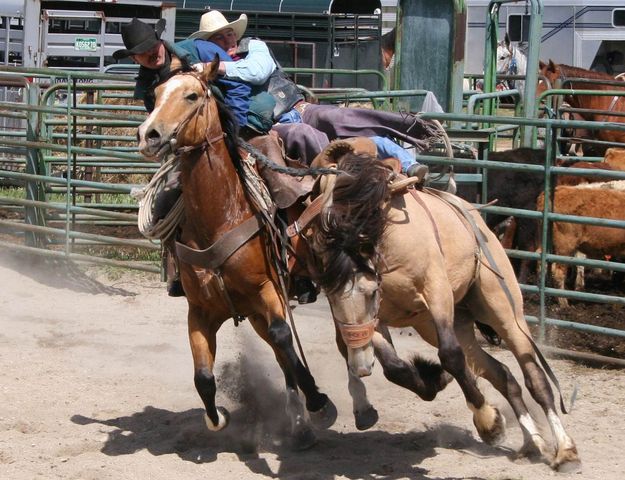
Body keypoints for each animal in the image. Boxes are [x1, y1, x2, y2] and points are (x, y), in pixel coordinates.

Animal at [134, 60, 334, 450]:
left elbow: (285, 338)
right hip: (252, 315)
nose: (149, 134)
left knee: (286, 347)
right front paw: (218, 418)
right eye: (156, 94)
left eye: (192, 95)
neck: (220, 217)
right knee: (279, 356)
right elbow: (202, 376)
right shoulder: (200, 311)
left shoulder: (269, 292)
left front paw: (319, 402)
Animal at [302, 140, 580, 472]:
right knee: (502, 374)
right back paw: (532, 442)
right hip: (446, 325)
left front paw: (489, 423)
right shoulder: (378, 321)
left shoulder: (436, 293)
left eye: (370, 293)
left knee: (534, 377)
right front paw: (433, 380)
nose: (360, 366)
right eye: (330, 297)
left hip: (501, 309)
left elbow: (450, 357)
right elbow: (395, 368)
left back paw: (565, 451)